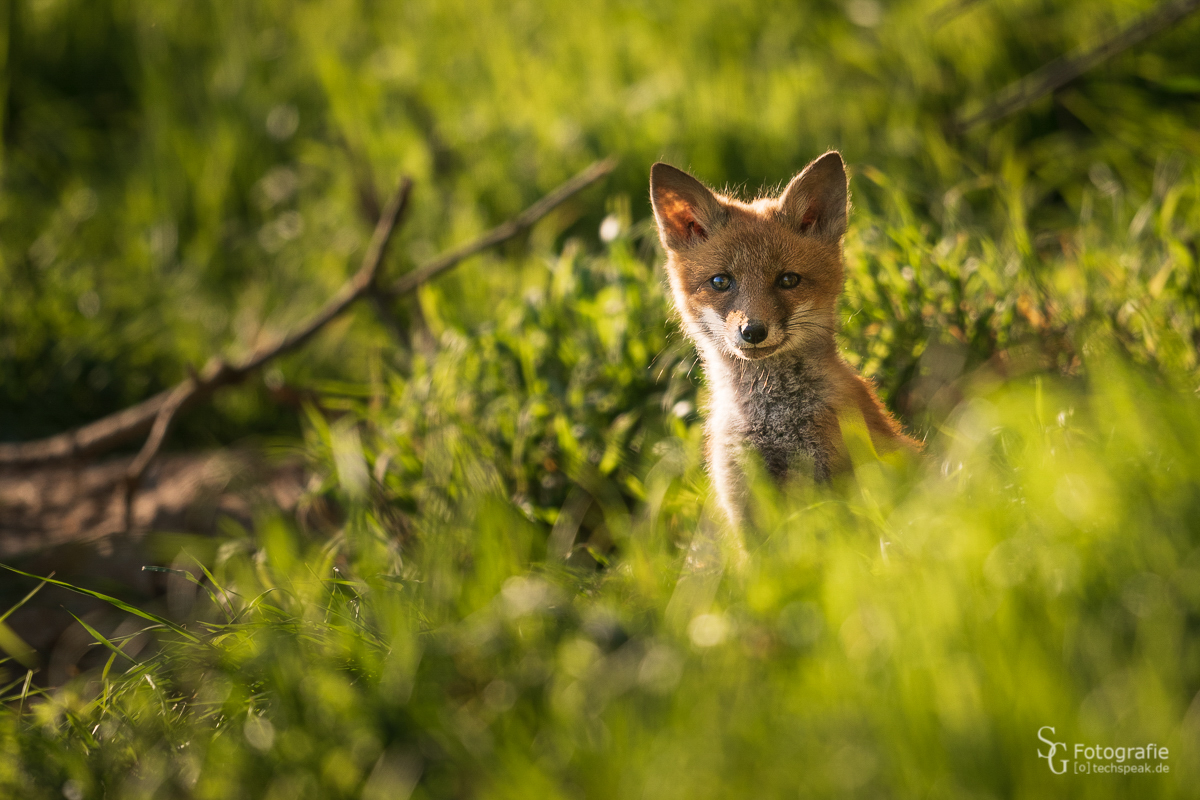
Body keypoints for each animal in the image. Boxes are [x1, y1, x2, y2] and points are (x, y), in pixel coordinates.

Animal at [648, 151, 916, 527]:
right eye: (720, 281)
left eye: (788, 280)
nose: (753, 331)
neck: (772, 420)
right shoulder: (743, 504)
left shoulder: (841, 492)